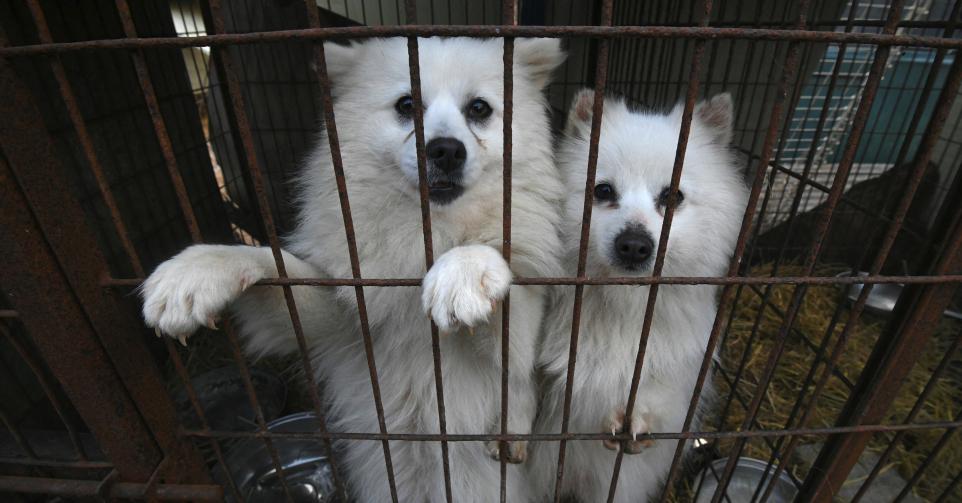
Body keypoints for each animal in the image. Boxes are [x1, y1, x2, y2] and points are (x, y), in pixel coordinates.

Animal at [140, 37, 568, 502]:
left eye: (479, 108)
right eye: (406, 104)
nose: (446, 150)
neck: (430, 232)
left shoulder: (524, 332)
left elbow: (507, 310)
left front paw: (465, 269)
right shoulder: (339, 315)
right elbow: (272, 262)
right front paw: (197, 270)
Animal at [528, 91, 748, 503]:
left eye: (672, 196)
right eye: (602, 191)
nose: (634, 244)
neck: (622, 307)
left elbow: (657, 393)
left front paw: (635, 417)